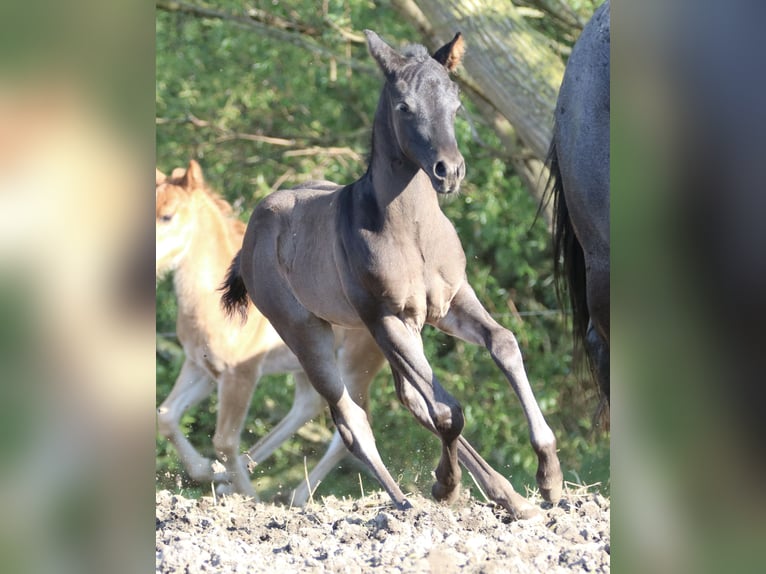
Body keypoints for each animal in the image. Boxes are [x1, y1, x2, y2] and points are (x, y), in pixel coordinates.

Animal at [156, 160, 388, 502]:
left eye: (168, 216)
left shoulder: (240, 375)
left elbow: (224, 441)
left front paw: (245, 493)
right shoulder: (202, 367)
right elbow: (167, 416)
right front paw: (209, 472)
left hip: (357, 366)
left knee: (352, 423)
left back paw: (296, 496)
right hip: (312, 365)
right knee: (308, 405)